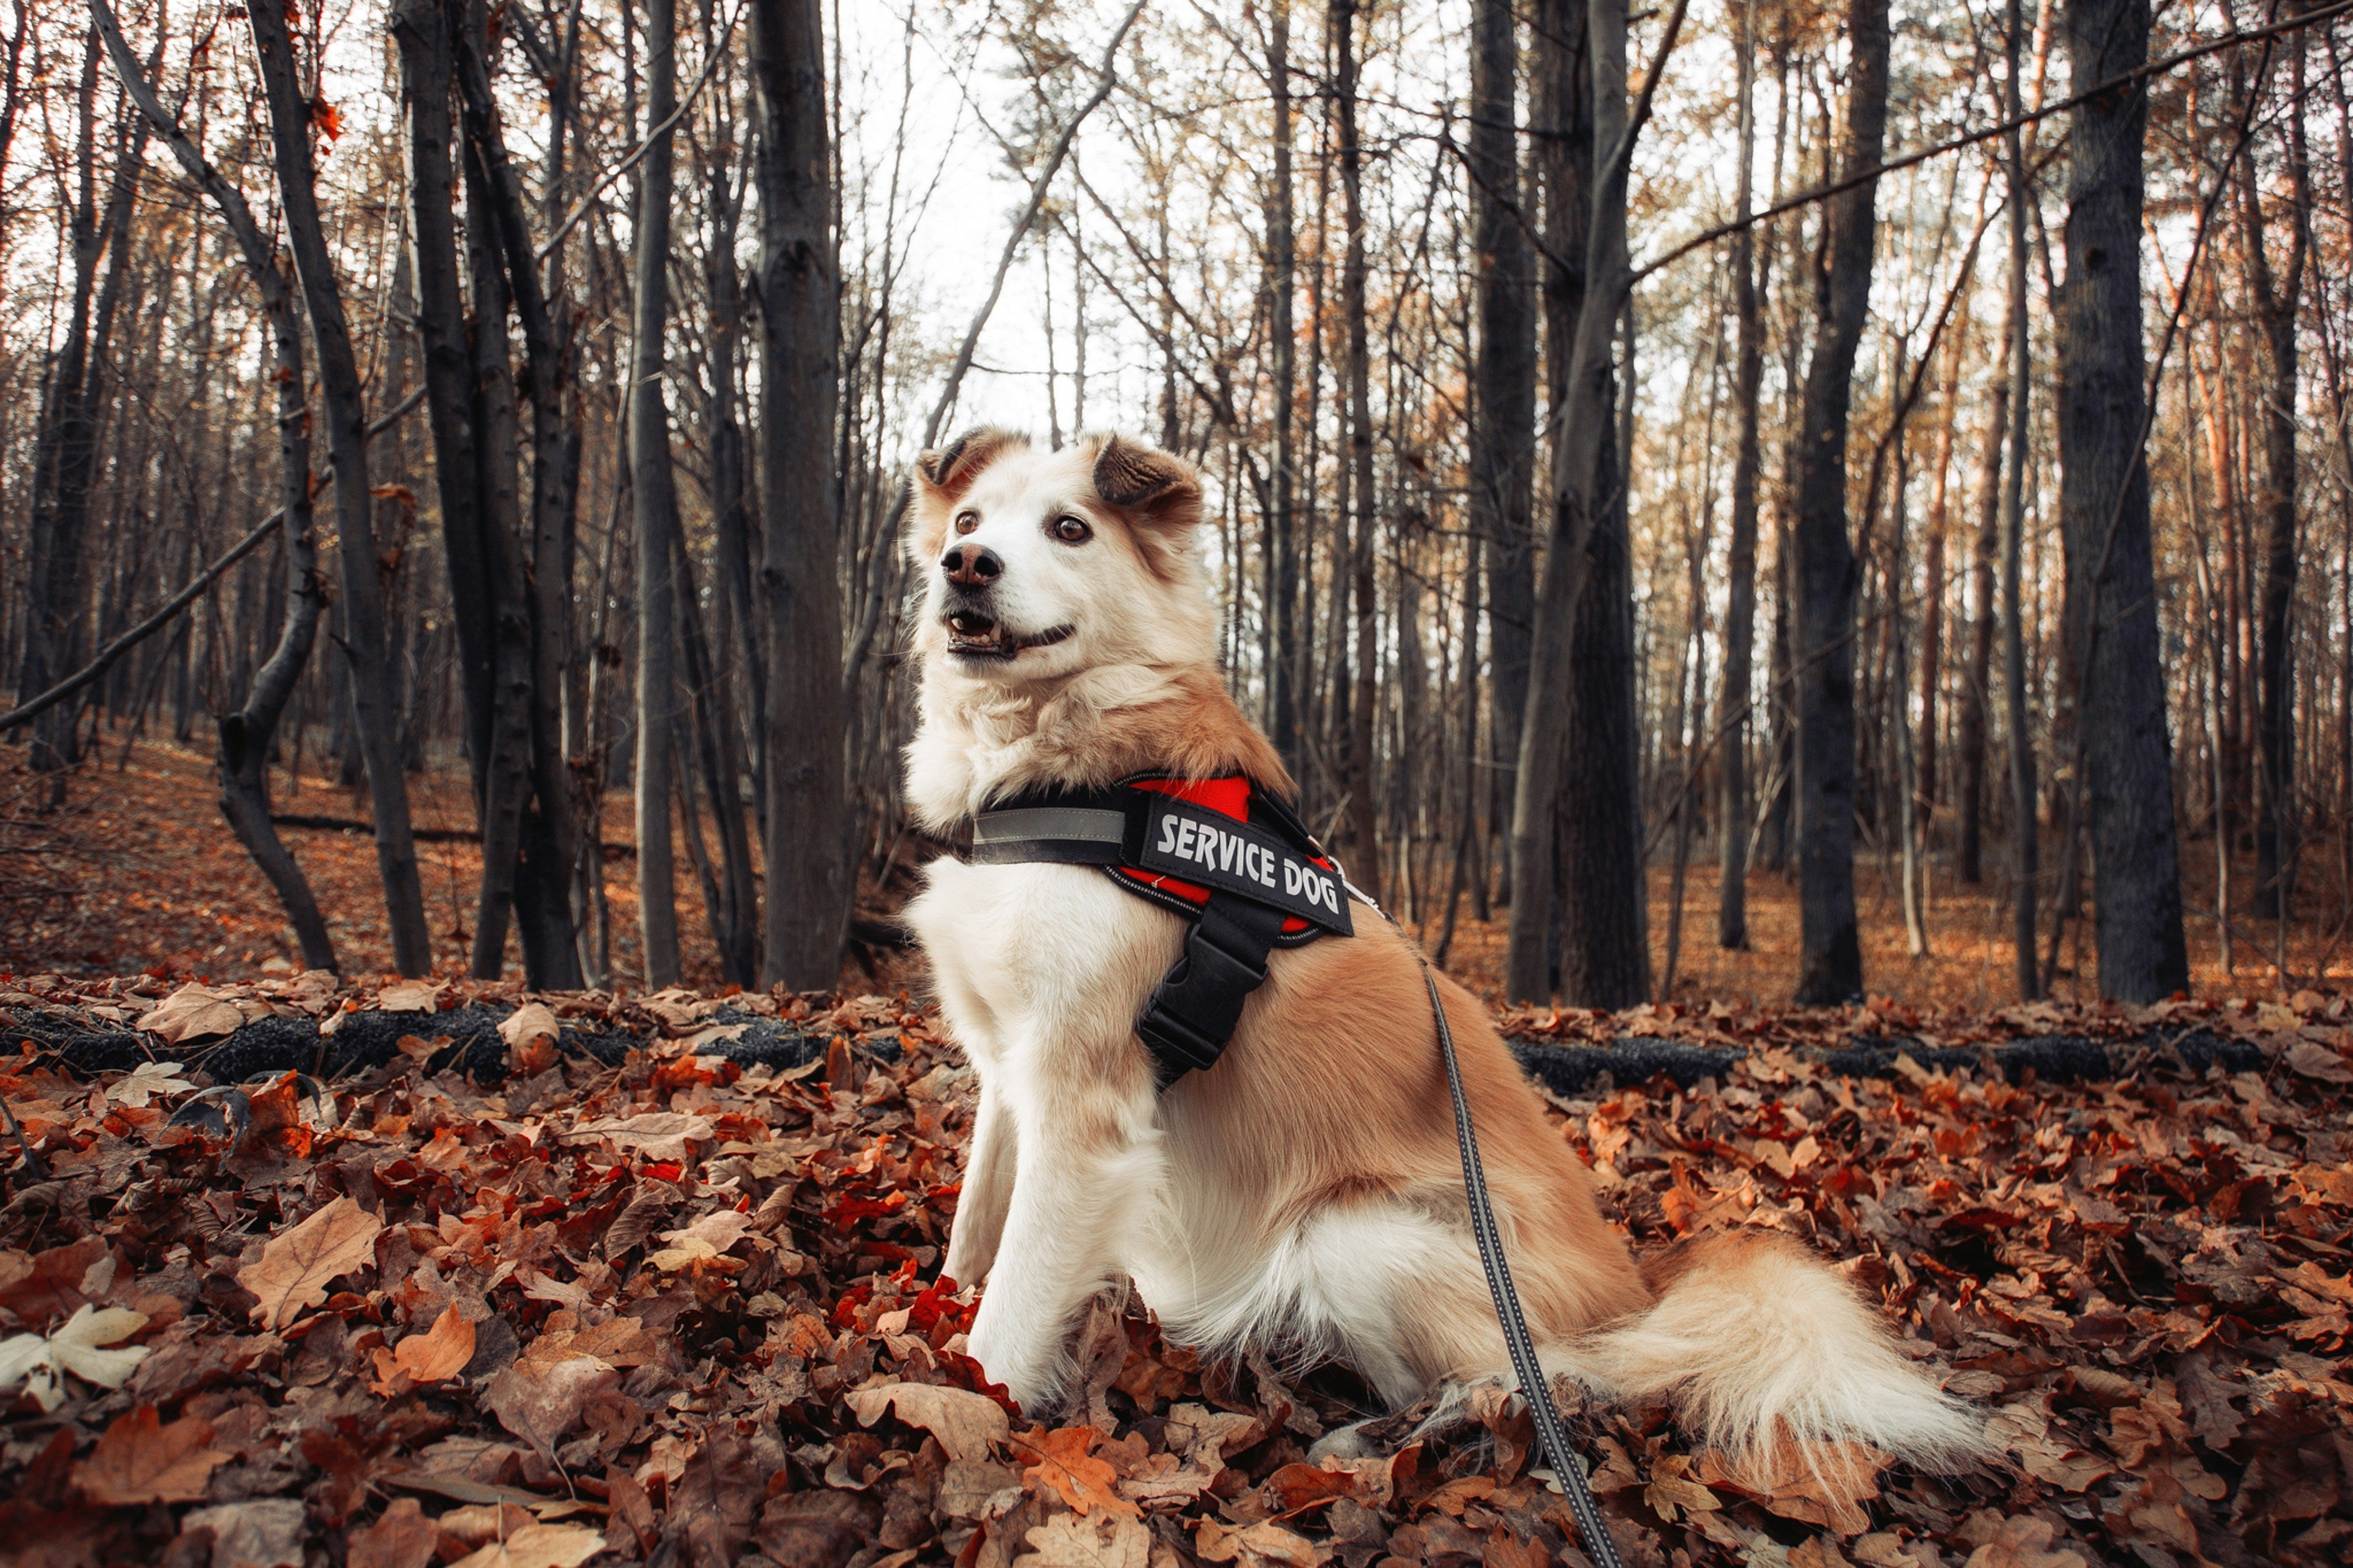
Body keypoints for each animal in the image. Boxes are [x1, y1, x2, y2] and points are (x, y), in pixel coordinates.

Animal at [898, 425, 1986, 1476]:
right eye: (969, 518)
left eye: (1070, 528)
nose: (966, 565)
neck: (1070, 782)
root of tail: (1636, 1291)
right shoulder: (1009, 1071)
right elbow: (975, 1232)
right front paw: (935, 1318)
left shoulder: (1084, 1107)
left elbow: (1014, 1305)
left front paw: (972, 1406)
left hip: (1354, 1232)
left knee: (1553, 1380)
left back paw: (1398, 1438)